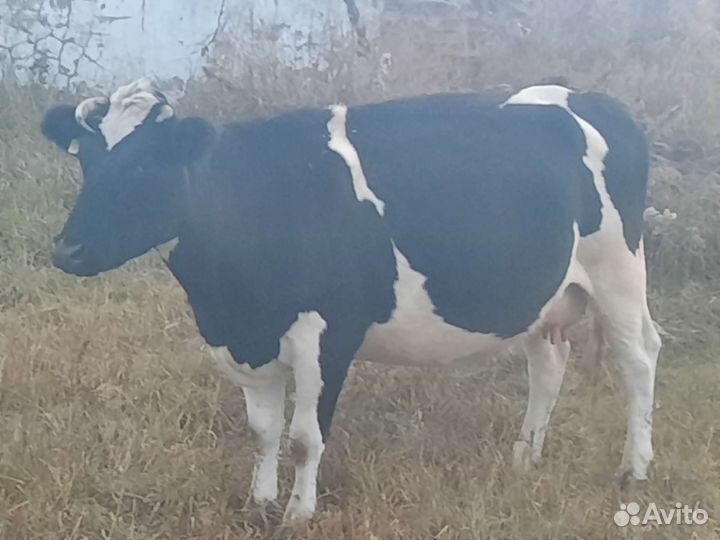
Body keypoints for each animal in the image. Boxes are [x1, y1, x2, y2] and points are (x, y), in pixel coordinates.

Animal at [41, 79, 661, 522]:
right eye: (87, 161)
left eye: (146, 164)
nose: (68, 249)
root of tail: (586, 97)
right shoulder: (244, 337)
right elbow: (263, 431)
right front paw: (260, 502)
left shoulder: (327, 334)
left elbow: (303, 438)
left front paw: (298, 513)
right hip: (547, 295)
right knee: (549, 362)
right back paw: (525, 456)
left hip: (619, 271)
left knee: (639, 358)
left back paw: (634, 469)